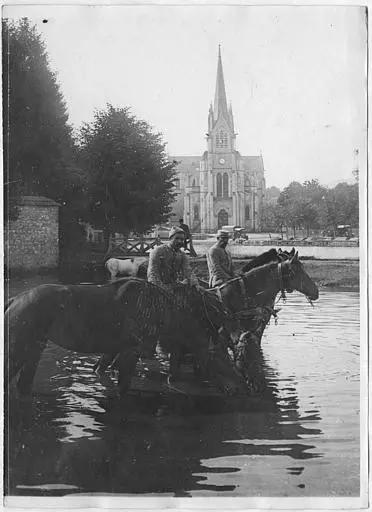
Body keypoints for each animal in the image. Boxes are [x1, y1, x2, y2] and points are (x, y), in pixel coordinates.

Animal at [5, 278, 246, 398]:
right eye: (218, 357)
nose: (240, 386)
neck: (163, 311)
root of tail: (14, 299)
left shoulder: (114, 350)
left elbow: (101, 370)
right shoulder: (130, 352)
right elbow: (122, 387)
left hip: (35, 347)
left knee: (23, 384)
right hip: (18, 348)